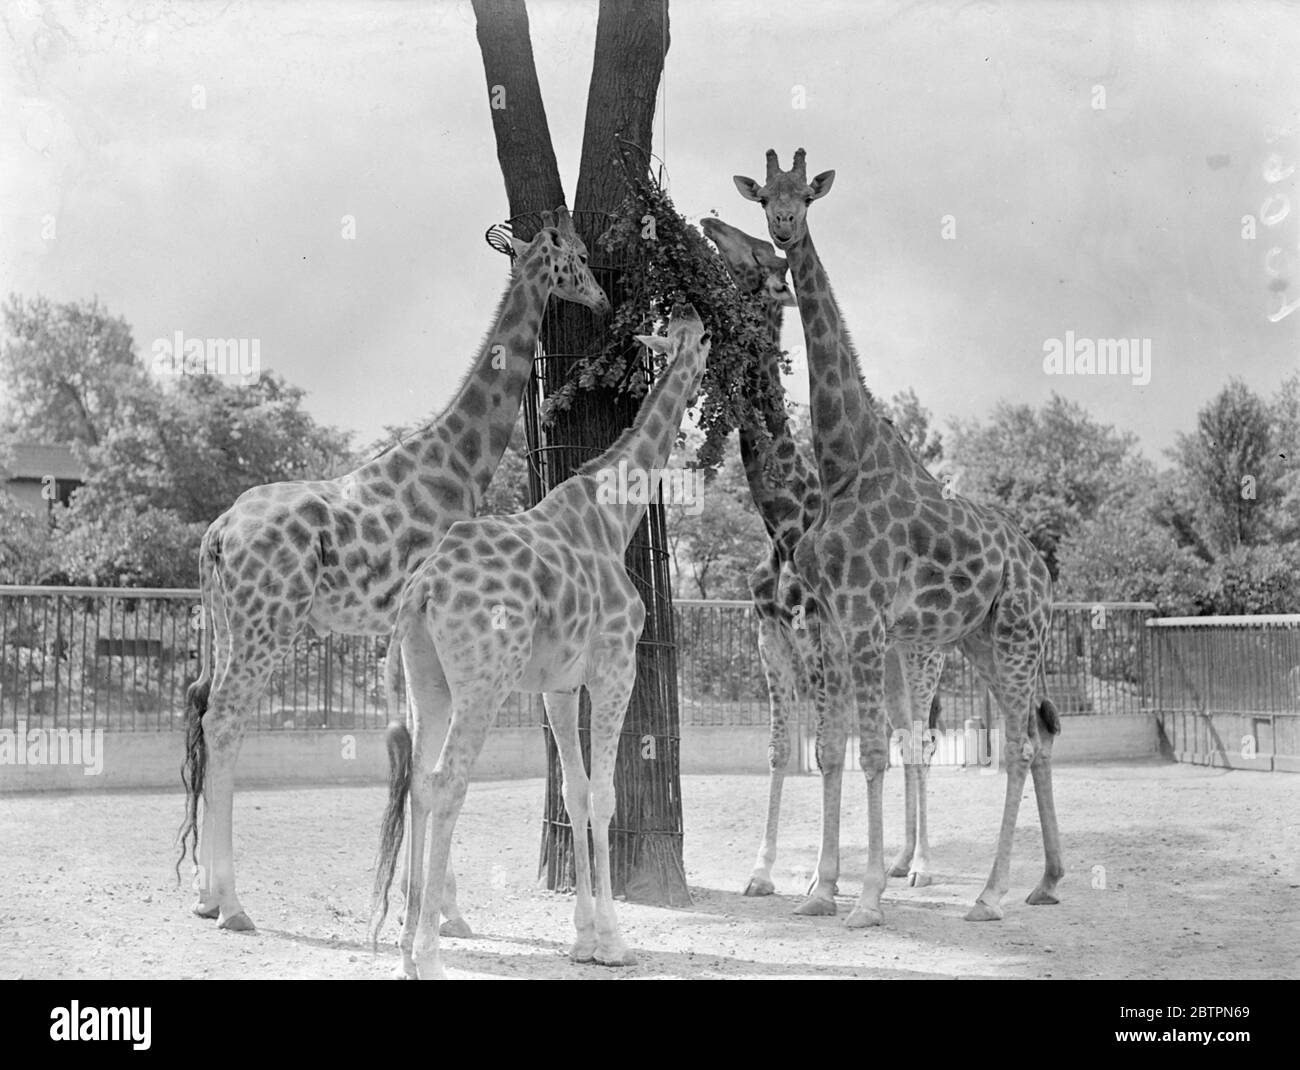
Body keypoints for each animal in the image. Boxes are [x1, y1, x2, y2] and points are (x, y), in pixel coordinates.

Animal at [176, 208, 609, 932]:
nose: (603, 299)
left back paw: (206, 895)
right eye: (576, 256)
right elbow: (431, 748)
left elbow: (422, 742)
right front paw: (449, 912)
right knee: (225, 720)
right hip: (271, 621)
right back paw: (234, 904)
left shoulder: (410, 631)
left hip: (229, 622)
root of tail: (218, 533)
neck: (457, 464)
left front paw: (436, 907)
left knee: (207, 710)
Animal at [370, 304, 710, 979]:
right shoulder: (615, 665)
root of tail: (422, 588)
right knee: (447, 782)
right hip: (483, 683)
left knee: (417, 781)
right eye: (704, 337)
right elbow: (603, 795)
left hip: (429, 681)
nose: (699, 328)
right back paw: (431, 953)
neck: (612, 517)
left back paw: (406, 952)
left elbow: (574, 793)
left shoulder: (559, 686)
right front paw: (614, 943)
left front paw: (582, 938)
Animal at [700, 216, 946, 899]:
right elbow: (783, 750)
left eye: (760, 255)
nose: (710, 222)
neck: (781, 517)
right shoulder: (770, 632)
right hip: (889, 659)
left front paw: (821, 880)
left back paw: (921, 866)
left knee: (919, 739)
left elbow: (828, 746)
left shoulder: (815, 630)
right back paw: (898, 862)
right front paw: (762, 873)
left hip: (924, 655)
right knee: (899, 735)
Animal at [733, 149, 1064, 924]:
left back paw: (985, 892)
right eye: (763, 196)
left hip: (1004, 639)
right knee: (1030, 734)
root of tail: (1041, 568)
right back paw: (1042, 881)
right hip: (983, 642)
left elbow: (872, 752)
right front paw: (822, 888)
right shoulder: (831, 624)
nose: (784, 227)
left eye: (805, 196)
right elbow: (832, 750)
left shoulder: (859, 620)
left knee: (1010, 747)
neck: (843, 463)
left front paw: (863, 898)